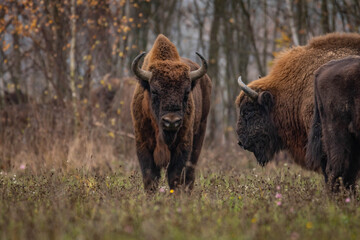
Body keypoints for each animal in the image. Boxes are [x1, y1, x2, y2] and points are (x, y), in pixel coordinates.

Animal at [131, 34, 211, 191]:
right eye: (154, 91)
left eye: (186, 92)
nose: (171, 121)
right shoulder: (143, 145)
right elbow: (150, 178)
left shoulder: (182, 147)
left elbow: (175, 177)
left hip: (200, 134)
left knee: (190, 175)